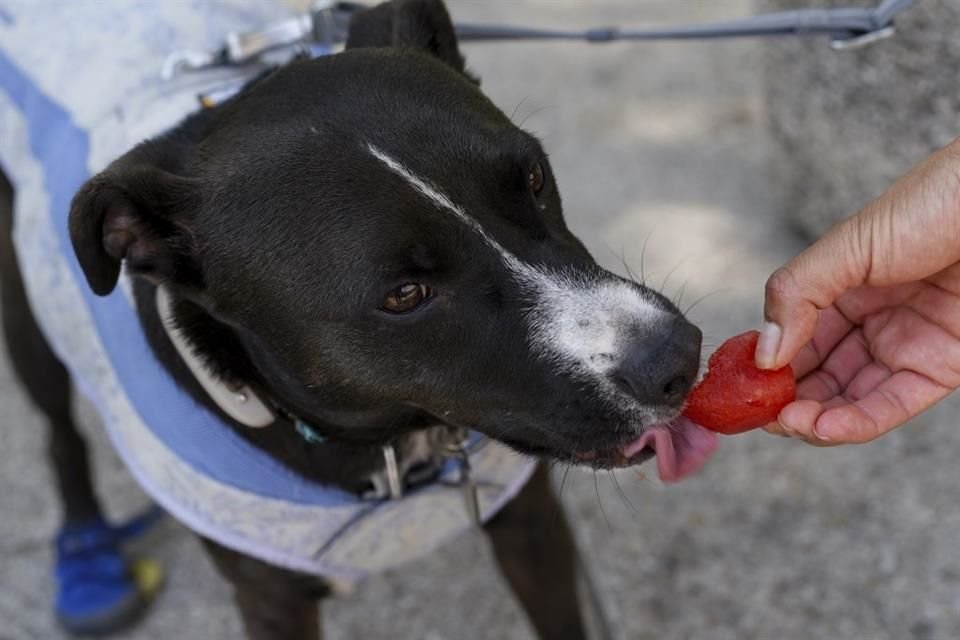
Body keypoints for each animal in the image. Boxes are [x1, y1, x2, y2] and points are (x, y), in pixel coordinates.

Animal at [0, 1, 704, 640]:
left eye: (533, 177)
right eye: (404, 294)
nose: (677, 358)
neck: (393, 444)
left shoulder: (528, 526)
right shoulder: (271, 602)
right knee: (59, 433)